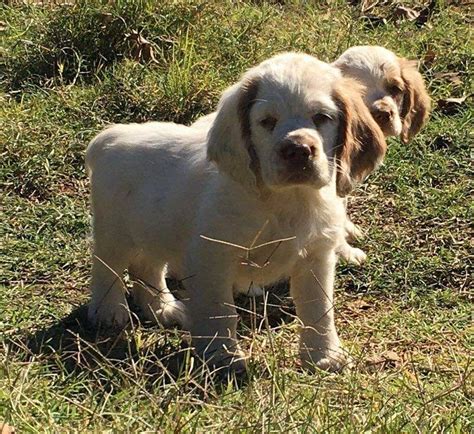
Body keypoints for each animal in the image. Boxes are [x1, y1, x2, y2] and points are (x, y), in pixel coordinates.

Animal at [86, 52, 386, 372]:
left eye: (321, 118)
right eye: (267, 122)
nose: (297, 150)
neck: (283, 201)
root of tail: (110, 137)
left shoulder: (316, 256)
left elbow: (318, 308)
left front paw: (323, 356)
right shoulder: (212, 257)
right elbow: (220, 310)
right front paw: (223, 357)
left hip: (156, 230)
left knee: (147, 268)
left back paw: (163, 310)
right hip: (114, 233)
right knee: (107, 269)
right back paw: (110, 312)